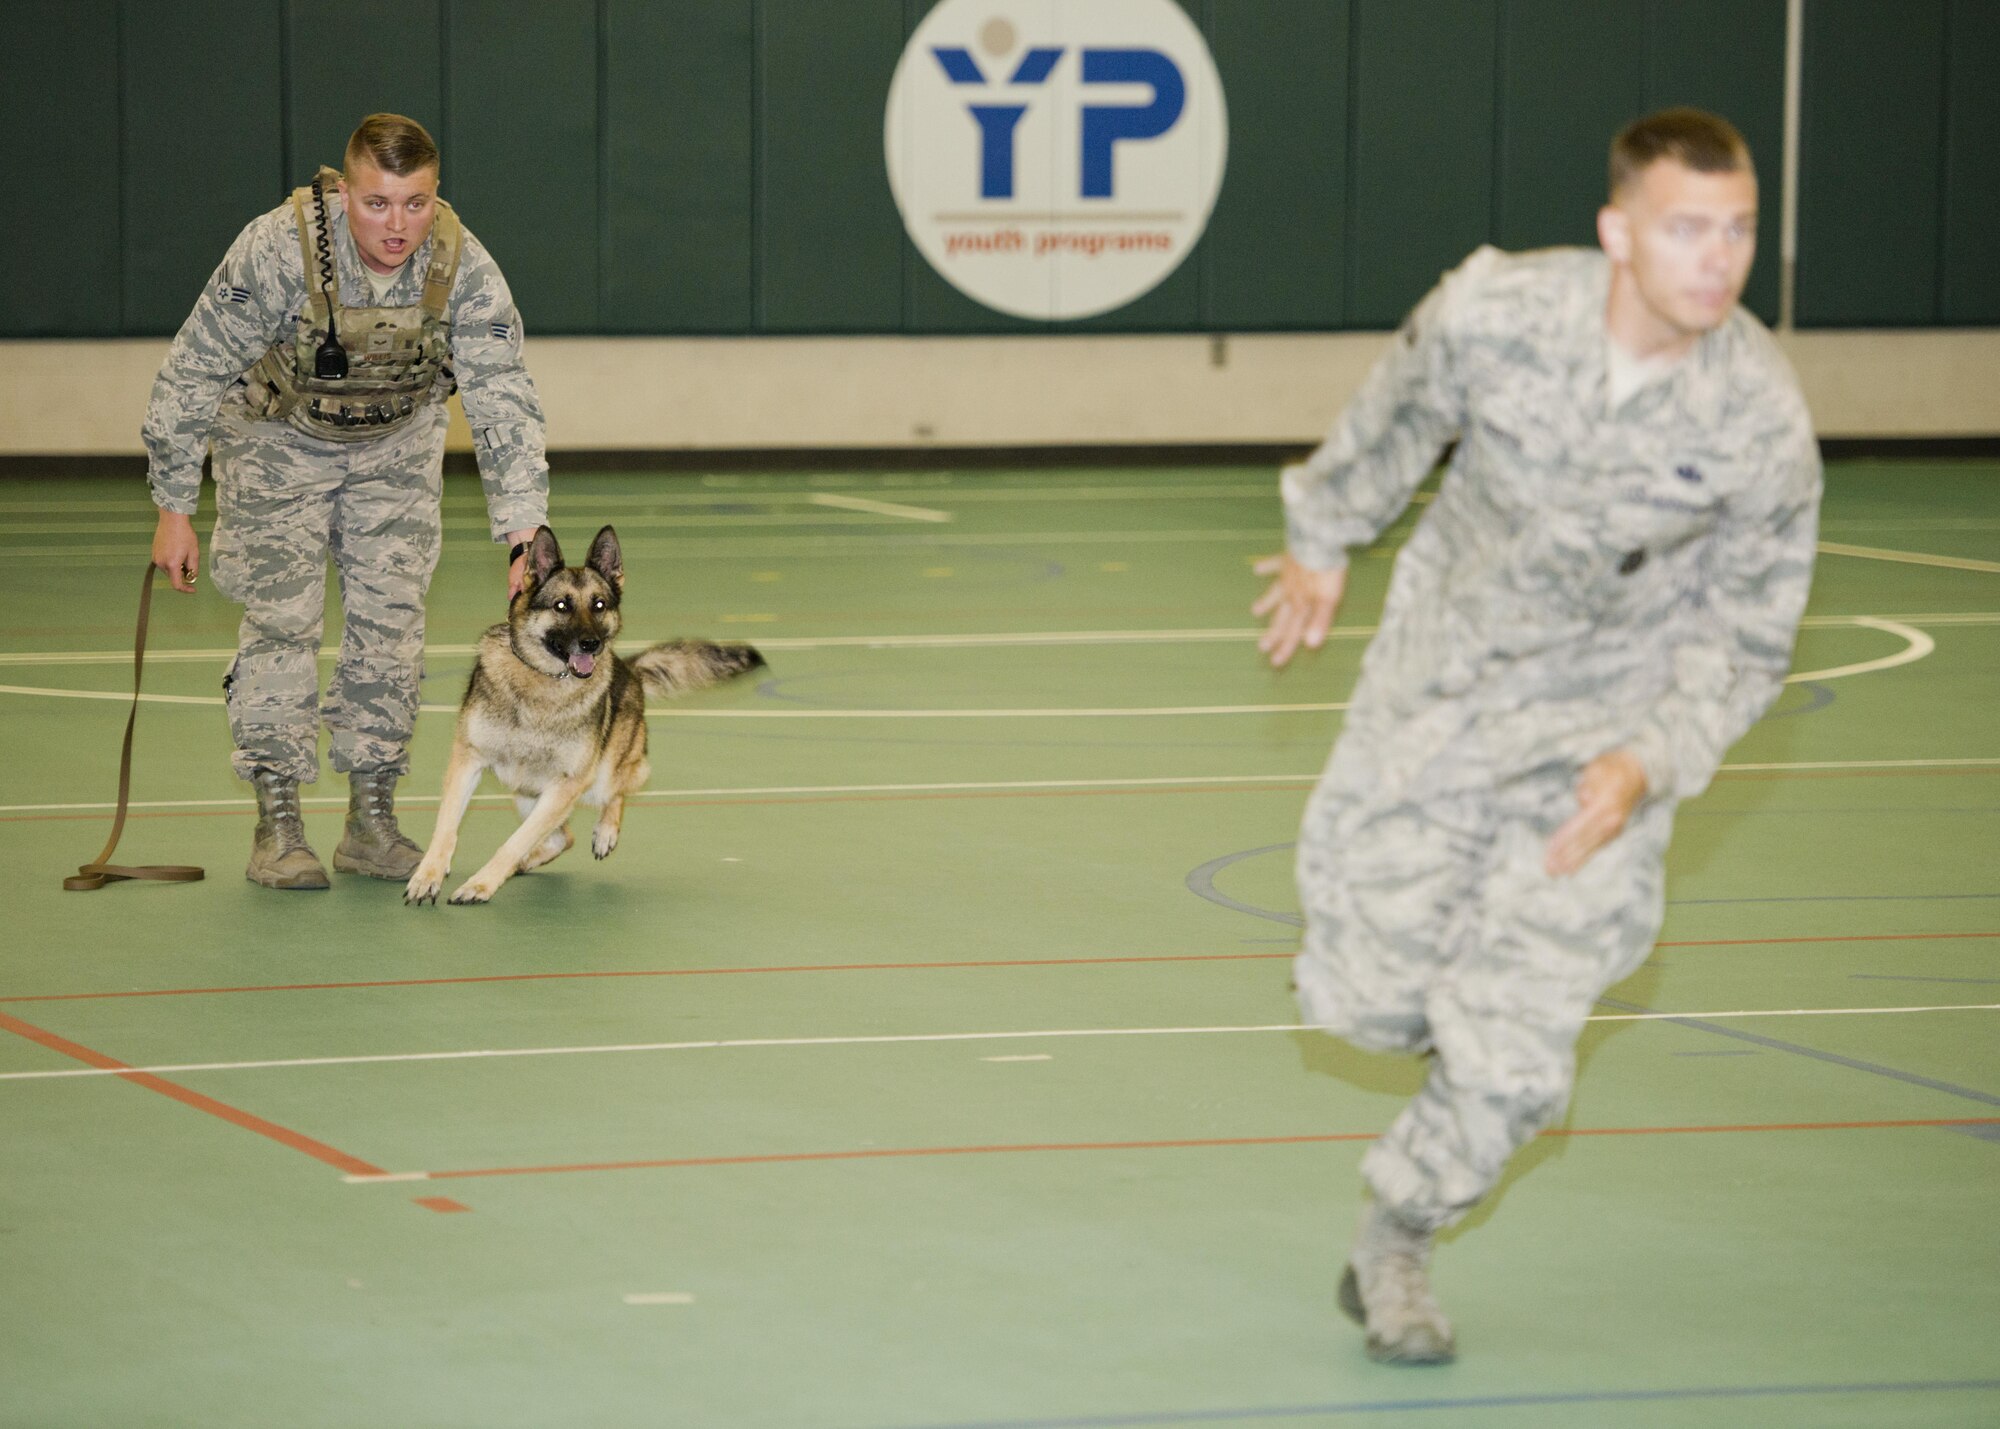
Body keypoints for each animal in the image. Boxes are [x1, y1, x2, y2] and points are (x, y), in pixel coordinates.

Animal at [402, 524, 760, 900]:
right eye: (561, 606)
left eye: (599, 605)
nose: (591, 644)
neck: (543, 680)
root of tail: (630, 671)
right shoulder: (467, 761)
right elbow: (447, 826)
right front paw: (429, 875)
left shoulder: (566, 786)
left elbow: (513, 843)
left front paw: (481, 884)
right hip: (528, 795)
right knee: (562, 837)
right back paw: (525, 864)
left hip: (598, 781)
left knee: (615, 793)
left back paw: (605, 832)